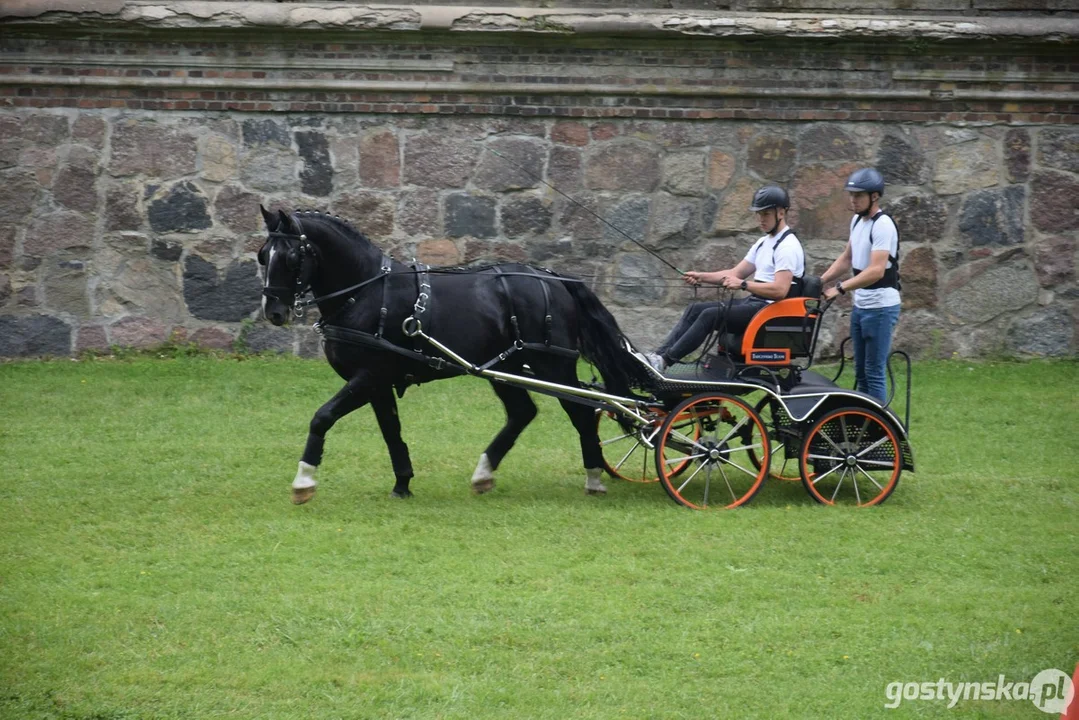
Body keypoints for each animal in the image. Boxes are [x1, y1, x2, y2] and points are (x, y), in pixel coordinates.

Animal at [258, 205, 647, 505]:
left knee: (582, 412)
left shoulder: (367, 377)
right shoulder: (378, 384)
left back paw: (593, 477)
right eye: (263, 255)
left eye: (291, 257)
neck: (367, 292)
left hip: (555, 366)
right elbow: (391, 431)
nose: (273, 311)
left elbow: (322, 417)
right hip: (504, 367)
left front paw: (304, 481)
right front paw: (402, 483)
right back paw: (484, 473)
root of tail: (554, 278)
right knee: (523, 413)